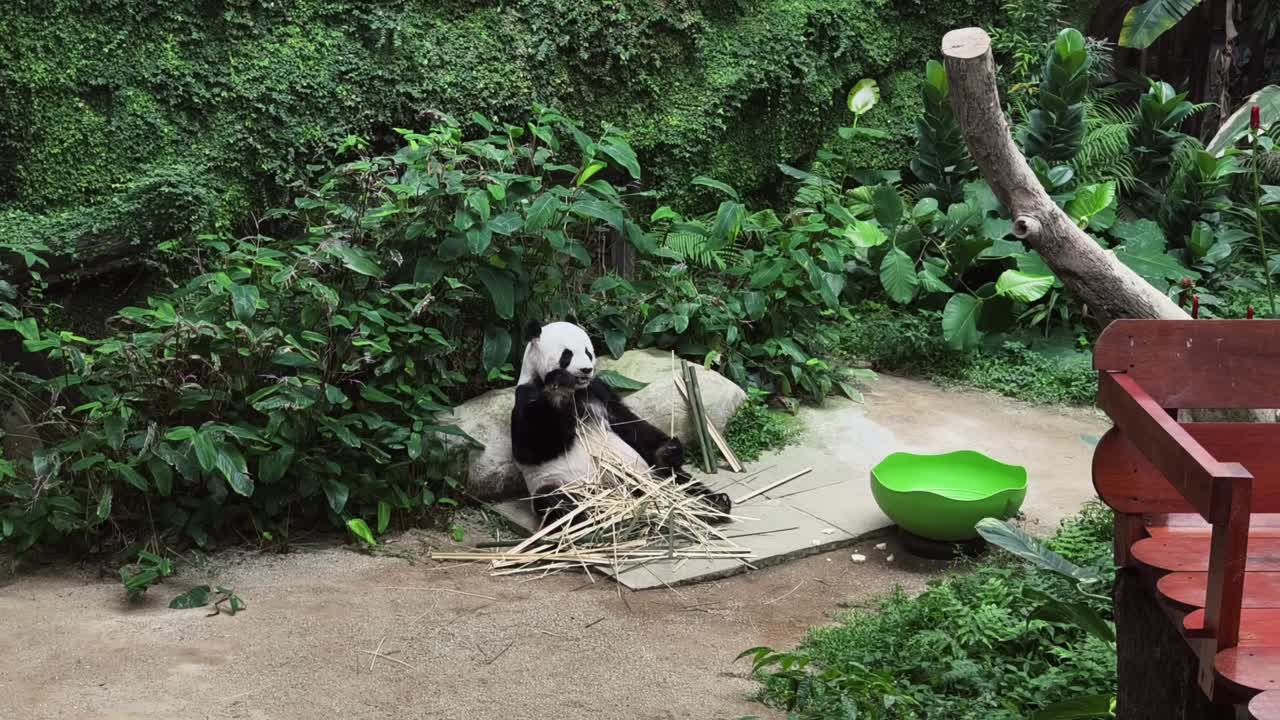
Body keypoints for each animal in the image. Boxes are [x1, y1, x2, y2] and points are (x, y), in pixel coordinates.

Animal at [510, 319, 732, 527]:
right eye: (567, 355)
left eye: (588, 352)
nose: (586, 370)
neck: (578, 391)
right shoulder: (526, 396)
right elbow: (532, 446)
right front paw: (559, 389)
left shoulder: (599, 392)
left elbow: (628, 423)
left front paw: (669, 450)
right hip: (558, 481)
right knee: (554, 500)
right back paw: (585, 517)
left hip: (646, 473)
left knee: (679, 478)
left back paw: (714, 503)